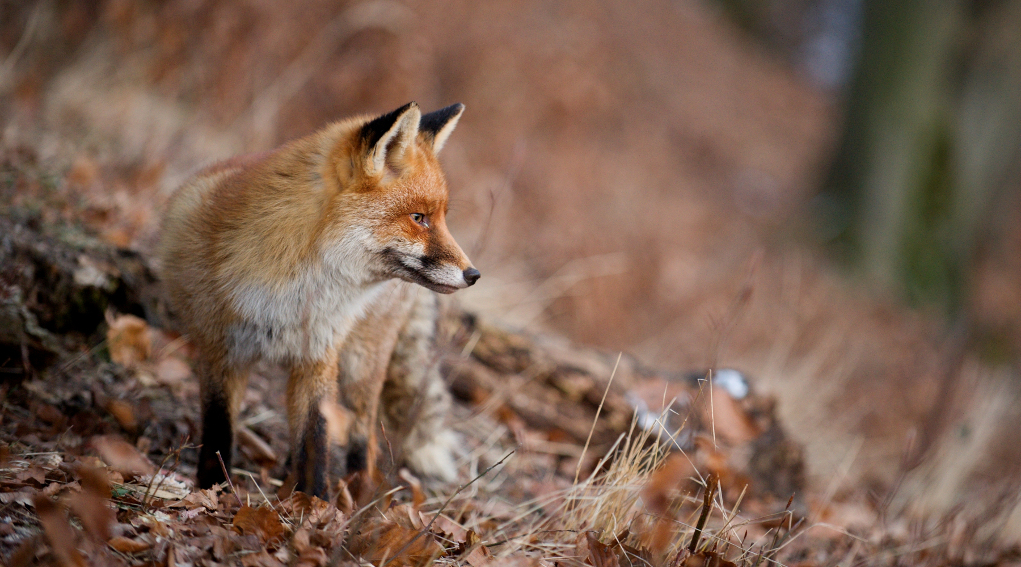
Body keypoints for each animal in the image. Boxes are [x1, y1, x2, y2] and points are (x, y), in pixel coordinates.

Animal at [159, 102, 479, 499]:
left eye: (442, 219)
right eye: (418, 218)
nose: (473, 274)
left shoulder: (318, 357)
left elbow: (316, 440)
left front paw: (315, 504)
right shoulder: (220, 351)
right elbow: (219, 432)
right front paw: (212, 489)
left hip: (361, 364)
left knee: (365, 435)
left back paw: (358, 493)